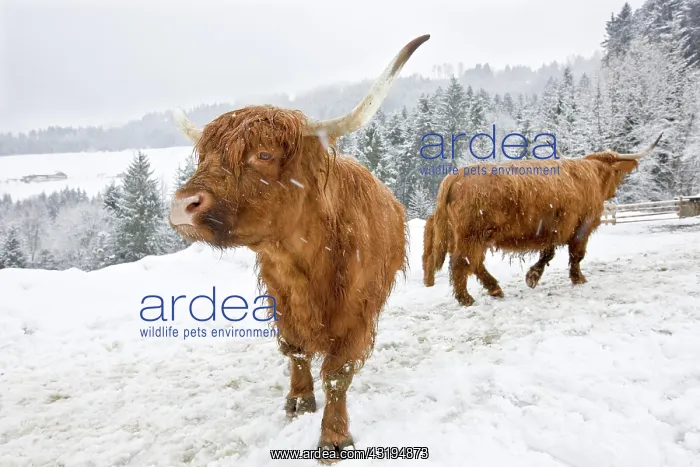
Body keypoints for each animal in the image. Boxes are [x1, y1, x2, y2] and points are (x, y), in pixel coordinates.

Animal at [168, 35, 430, 457]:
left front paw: (334, 437)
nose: (182, 206)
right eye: (203, 155)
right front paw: (299, 402)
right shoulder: (281, 300)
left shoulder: (356, 312)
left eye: (263, 155)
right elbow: (296, 350)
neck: (303, 260)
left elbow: (338, 374)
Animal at [422, 135, 663, 306]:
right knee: (461, 262)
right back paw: (466, 299)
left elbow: (549, 252)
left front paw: (533, 276)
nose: (613, 193)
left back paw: (494, 289)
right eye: (615, 174)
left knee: (474, 263)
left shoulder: (554, 229)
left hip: (471, 236)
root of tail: (454, 176)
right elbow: (575, 255)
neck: (592, 175)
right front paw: (576, 279)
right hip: (472, 234)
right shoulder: (581, 227)